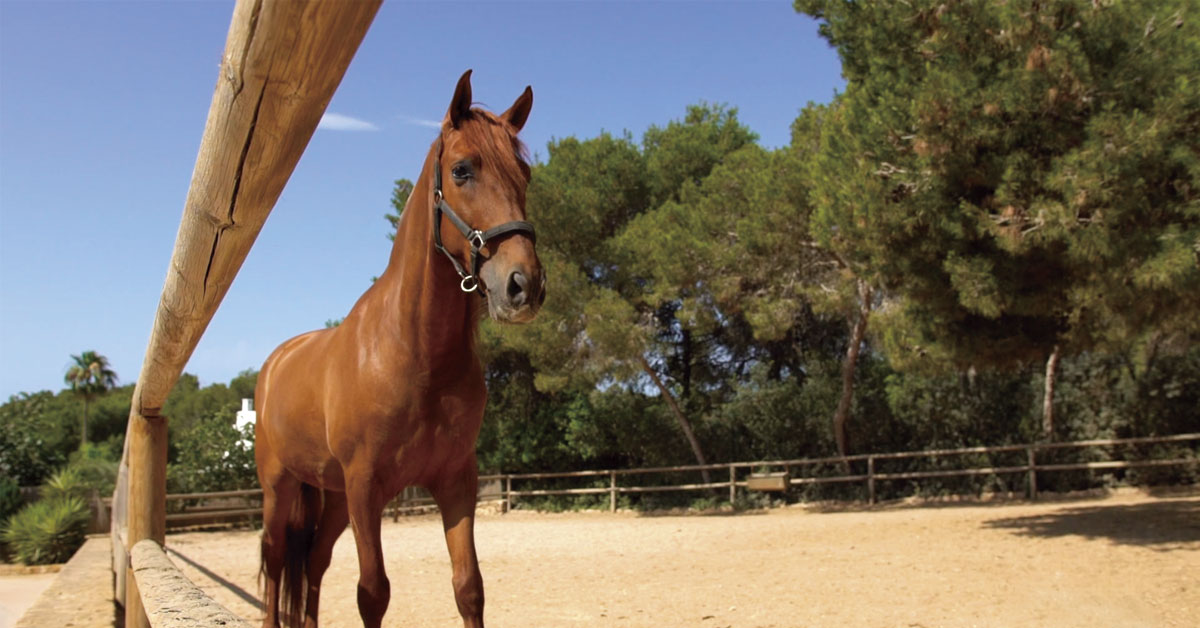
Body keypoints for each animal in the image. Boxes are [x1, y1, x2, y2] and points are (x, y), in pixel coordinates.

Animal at [254, 70, 543, 628]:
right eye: (462, 170)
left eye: (525, 174)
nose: (524, 285)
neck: (414, 355)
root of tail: (275, 362)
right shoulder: (366, 486)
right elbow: (373, 592)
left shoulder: (455, 479)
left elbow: (468, 587)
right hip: (281, 488)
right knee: (276, 561)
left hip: (332, 498)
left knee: (314, 563)